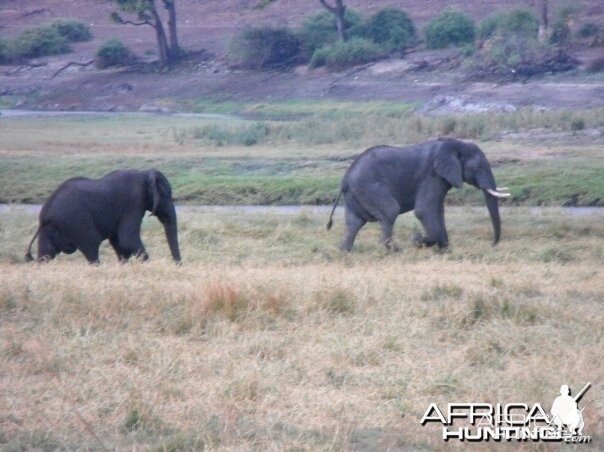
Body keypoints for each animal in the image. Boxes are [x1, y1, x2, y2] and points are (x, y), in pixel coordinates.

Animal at [25, 169, 182, 264]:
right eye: (167, 195)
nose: (177, 265)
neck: (145, 174)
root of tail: (45, 213)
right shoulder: (133, 203)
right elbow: (128, 239)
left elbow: (119, 242)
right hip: (76, 221)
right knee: (91, 246)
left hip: (52, 228)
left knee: (46, 253)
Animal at [326, 138, 510, 251]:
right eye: (478, 167)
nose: (493, 244)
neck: (455, 144)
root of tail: (345, 180)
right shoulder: (432, 175)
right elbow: (424, 210)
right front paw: (417, 241)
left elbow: (438, 210)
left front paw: (446, 250)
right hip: (370, 188)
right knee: (390, 211)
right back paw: (393, 250)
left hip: (356, 195)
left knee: (354, 223)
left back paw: (345, 251)